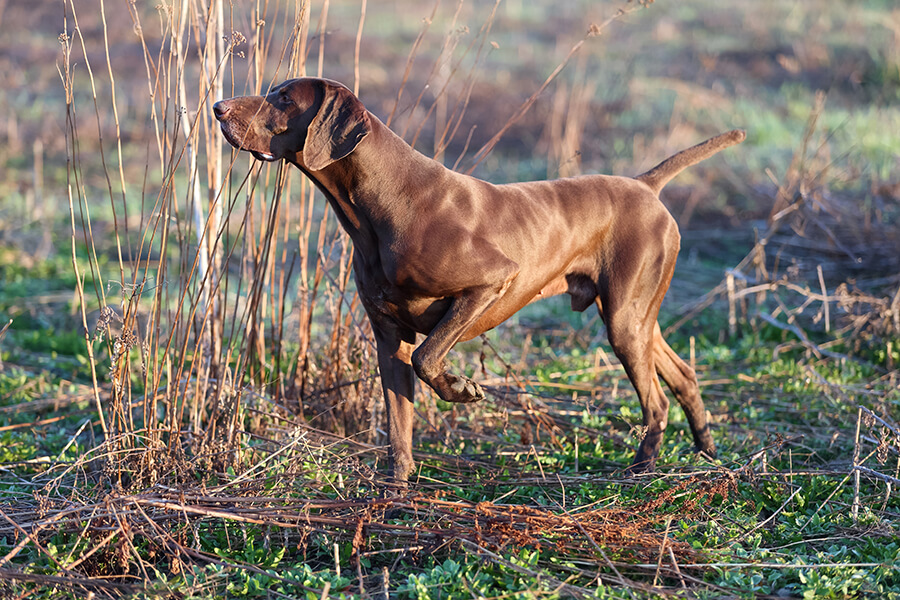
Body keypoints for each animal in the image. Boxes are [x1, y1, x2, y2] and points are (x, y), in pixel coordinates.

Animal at [213, 78, 744, 482]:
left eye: (284, 98)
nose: (217, 107)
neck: (383, 202)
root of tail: (645, 185)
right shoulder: (388, 338)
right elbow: (398, 425)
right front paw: (395, 490)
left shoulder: (490, 283)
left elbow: (429, 358)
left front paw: (461, 389)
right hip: (636, 318)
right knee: (684, 375)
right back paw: (707, 454)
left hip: (623, 321)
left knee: (655, 399)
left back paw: (641, 469)